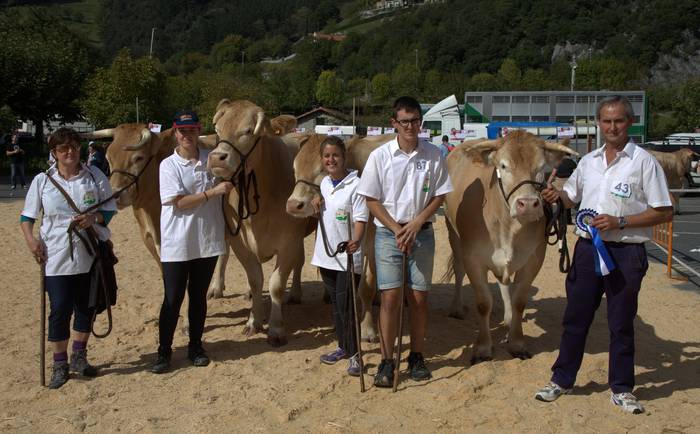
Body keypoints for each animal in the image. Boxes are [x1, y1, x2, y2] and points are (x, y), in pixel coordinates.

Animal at [208, 99, 314, 346]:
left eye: (248, 131)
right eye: (218, 130)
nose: (216, 158)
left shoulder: (289, 241)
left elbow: (276, 284)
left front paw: (275, 328)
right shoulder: (239, 241)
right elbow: (256, 279)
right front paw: (253, 321)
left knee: (300, 262)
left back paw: (296, 293)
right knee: (223, 255)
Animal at [284, 132, 394, 342]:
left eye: (322, 169)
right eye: (294, 168)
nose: (294, 205)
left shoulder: (371, 246)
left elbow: (366, 287)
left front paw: (367, 329)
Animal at [446, 131, 576, 362]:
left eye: (541, 167)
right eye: (503, 166)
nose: (528, 204)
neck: (507, 226)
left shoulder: (534, 259)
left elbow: (519, 301)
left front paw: (516, 343)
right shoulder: (473, 258)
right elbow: (483, 303)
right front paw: (482, 347)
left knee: (503, 282)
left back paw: (507, 318)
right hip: (454, 235)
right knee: (459, 270)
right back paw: (457, 308)